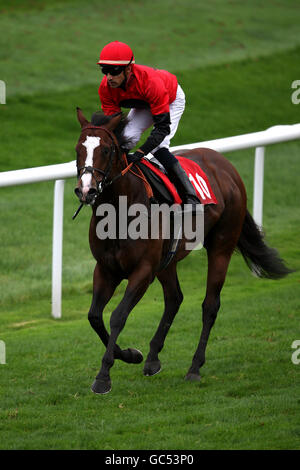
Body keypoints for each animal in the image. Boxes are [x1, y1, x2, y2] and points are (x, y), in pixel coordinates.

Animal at [74, 108, 292, 394]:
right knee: (174, 298)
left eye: (107, 150)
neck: (121, 210)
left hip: (221, 245)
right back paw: (153, 358)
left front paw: (103, 376)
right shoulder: (106, 269)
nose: (86, 190)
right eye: (78, 148)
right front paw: (132, 355)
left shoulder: (143, 270)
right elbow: (94, 317)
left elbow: (118, 316)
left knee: (210, 305)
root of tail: (225, 165)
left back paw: (194, 367)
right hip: (168, 260)